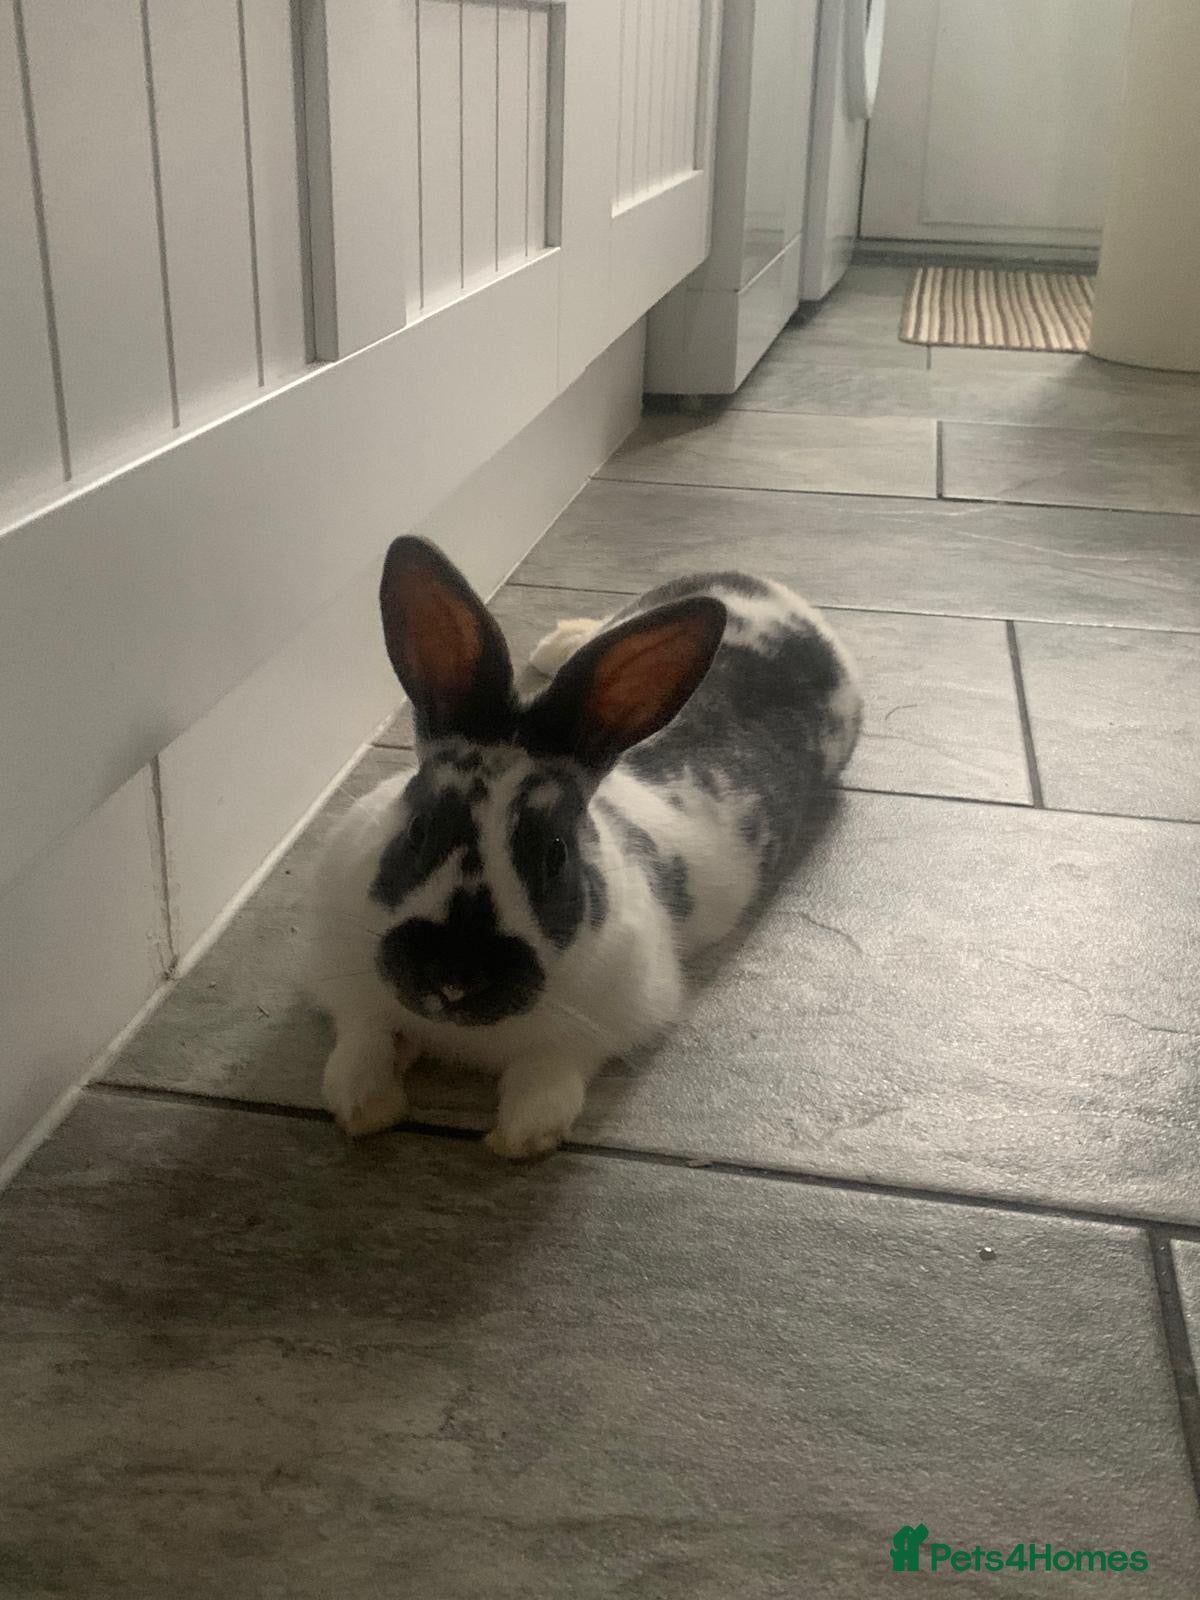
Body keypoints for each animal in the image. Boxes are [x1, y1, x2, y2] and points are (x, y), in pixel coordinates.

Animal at [310, 536, 861, 1159]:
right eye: (418, 830)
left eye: (555, 855)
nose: (454, 978)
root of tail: (783, 598)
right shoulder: (341, 979)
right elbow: (363, 1037)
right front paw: (362, 1104)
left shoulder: (607, 1018)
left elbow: (548, 1073)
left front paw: (523, 1136)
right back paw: (559, 643)